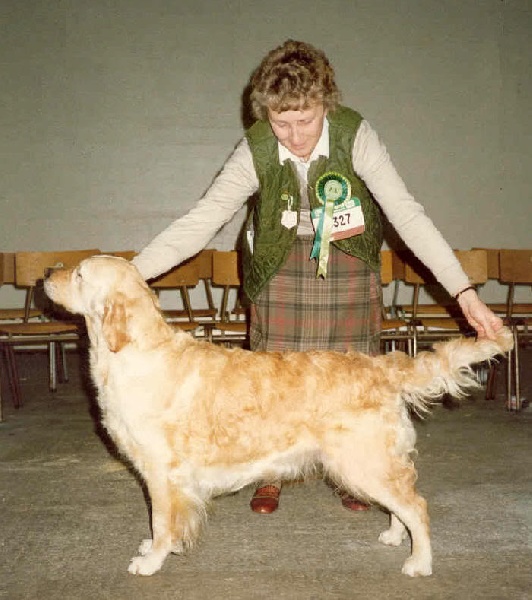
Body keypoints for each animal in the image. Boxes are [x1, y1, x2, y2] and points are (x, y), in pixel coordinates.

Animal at [44, 255, 512, 577]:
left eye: (80, 275)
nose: (48, 272)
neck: (134, 353)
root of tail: (382, 367)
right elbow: (167, 524)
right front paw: (159, 548)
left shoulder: (160, 471)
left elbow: (161, 521)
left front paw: (152, 560)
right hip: (372, 464)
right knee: (402, 505)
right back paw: (396, 536)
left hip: (362, 462)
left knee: (418, 505)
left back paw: (419, 562)